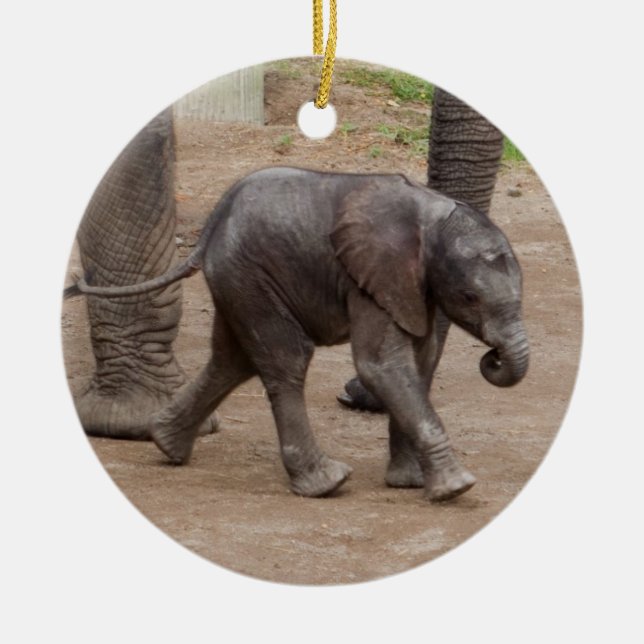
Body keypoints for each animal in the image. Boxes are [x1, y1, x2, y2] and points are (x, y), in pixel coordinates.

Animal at [66, 166, 529, 502]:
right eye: (470, 297)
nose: (492, 358)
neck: (433, 215)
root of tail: (210, 228)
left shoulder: (414, 286)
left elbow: (421, 361)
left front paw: (409, 483)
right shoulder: (370, 278)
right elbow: (381, 366)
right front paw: (456, 488)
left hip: (239, 280)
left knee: (231, 360)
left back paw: (166, 444)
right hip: (251, 275)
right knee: (285, 360)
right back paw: (326, 483)